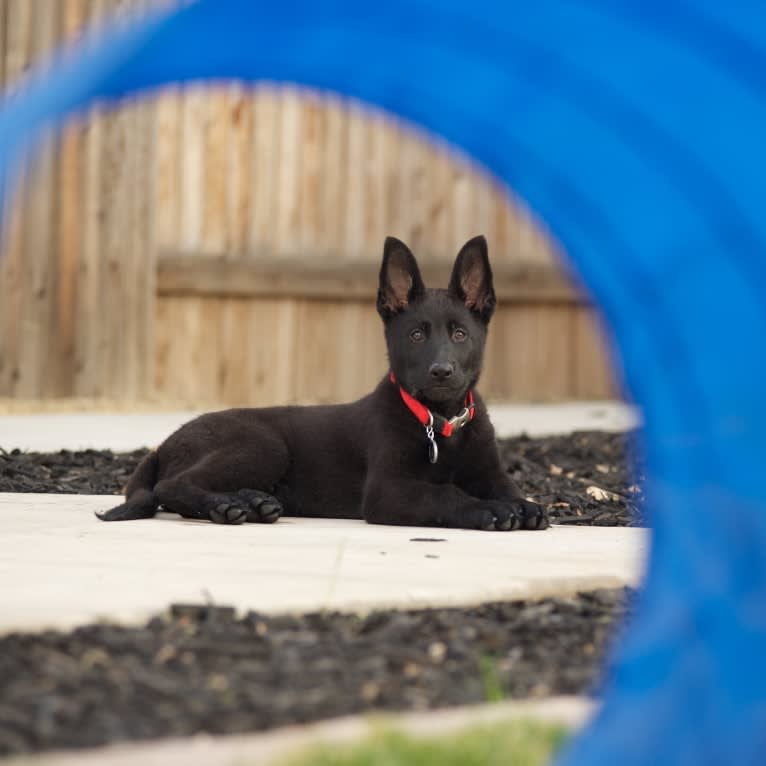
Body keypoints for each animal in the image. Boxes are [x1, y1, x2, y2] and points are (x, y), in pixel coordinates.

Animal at [97, 236, 552, 536]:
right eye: (416, 335)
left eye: (460, 334)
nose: (441, 371)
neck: (441, 422)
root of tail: (164, 443)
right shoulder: (388, 491)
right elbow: (447, 495)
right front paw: (490, 511)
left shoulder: (489, 472)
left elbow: (507, 488)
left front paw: (522, 505)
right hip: (262, 443)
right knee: (171, 486)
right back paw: (226, 506)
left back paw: (252, 503)